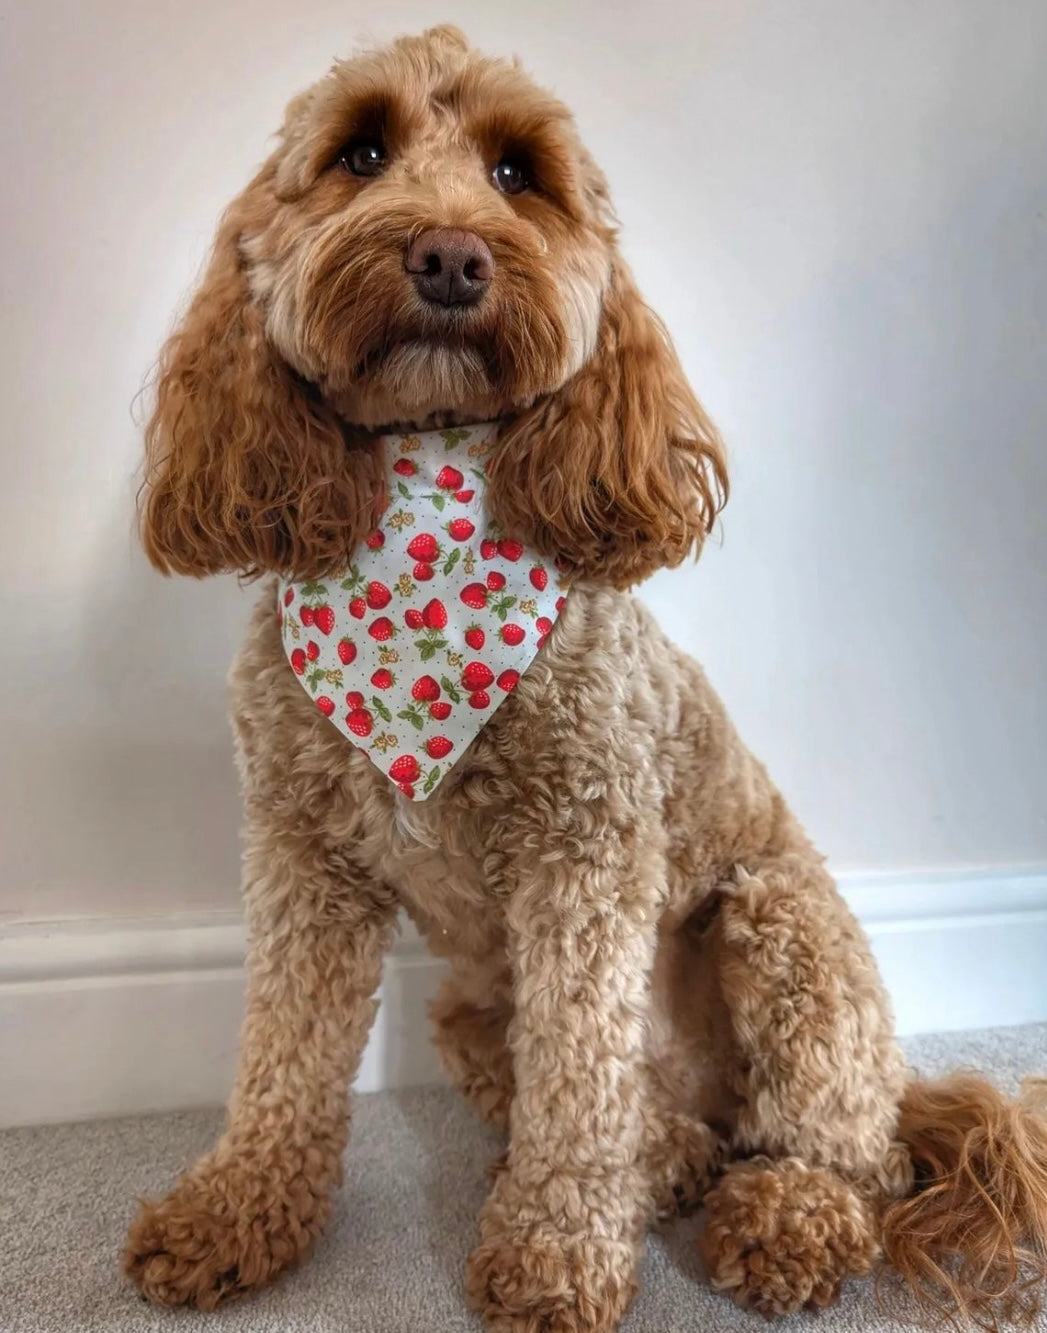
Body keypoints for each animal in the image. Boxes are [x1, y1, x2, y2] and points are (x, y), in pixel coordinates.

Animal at [124, 23, 1045, 1333]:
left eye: (519, 173)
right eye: (361, 152)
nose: (449, 255)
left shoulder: (585, 848)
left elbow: (578, 1076)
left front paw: (556, 1255)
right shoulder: (306, 856)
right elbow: (282, 1057)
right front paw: (235, 1210)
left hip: (784, 926)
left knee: (845, 1149)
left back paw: (780, 1213)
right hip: (473, 1006)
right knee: (657, 1121)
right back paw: (663, 1159)